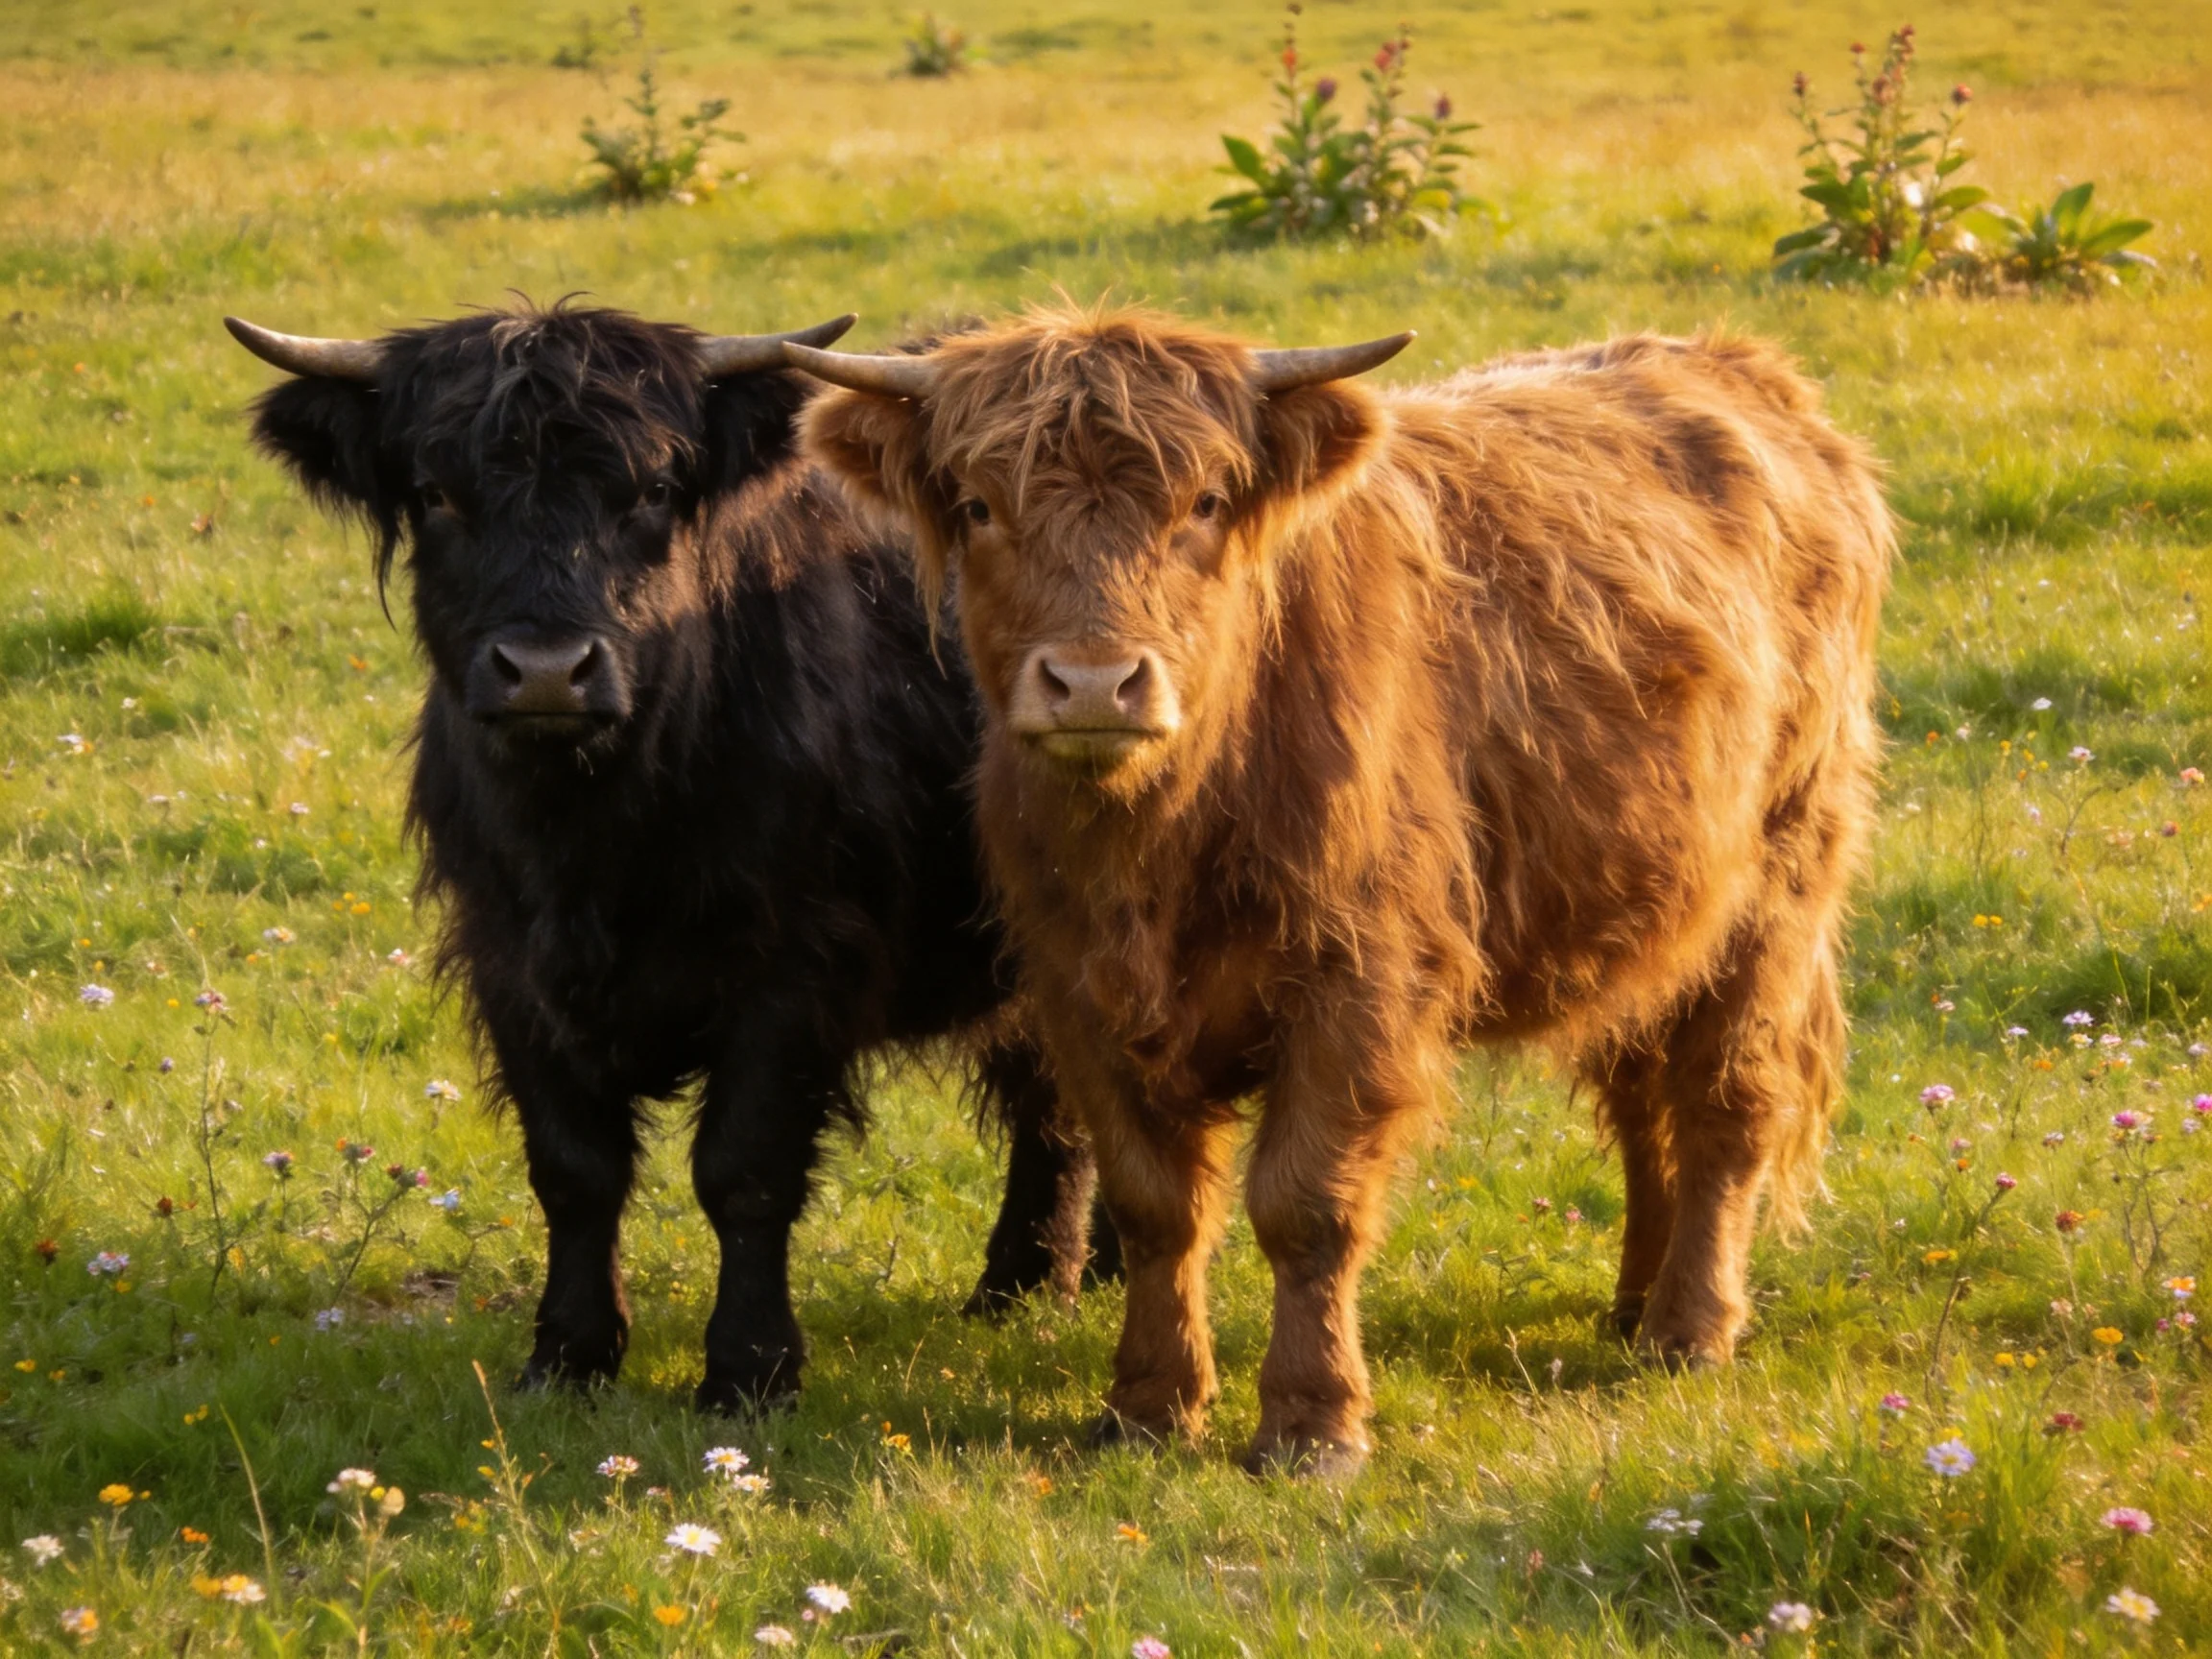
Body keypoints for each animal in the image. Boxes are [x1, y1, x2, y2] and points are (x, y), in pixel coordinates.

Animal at [227, 302, 1115, 1413]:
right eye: (435, 493)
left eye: (650, 489)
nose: (546, 670)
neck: (596, 837)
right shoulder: (510, 966)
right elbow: (573, 1168)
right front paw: (568, 1356)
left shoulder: (792, 972)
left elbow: (744, 1169)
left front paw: (749, 1371)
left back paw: (1035, 1281)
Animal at [785, 307, 1891, 1475]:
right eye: (980, 505)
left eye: (1205, 503)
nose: (1094, 682)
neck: (1171, 837)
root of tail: (1737, 366)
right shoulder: (1079, 993)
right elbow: (1155, 1205)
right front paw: (1146, 1406)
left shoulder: (1360, 980)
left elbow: (1306, 1204)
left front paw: (1312, 1424)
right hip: (1649, 906)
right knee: (1642, 1094)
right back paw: (1634, 1306)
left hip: (1778, 888)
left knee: (1728, 1098)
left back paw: (1690, 1329)